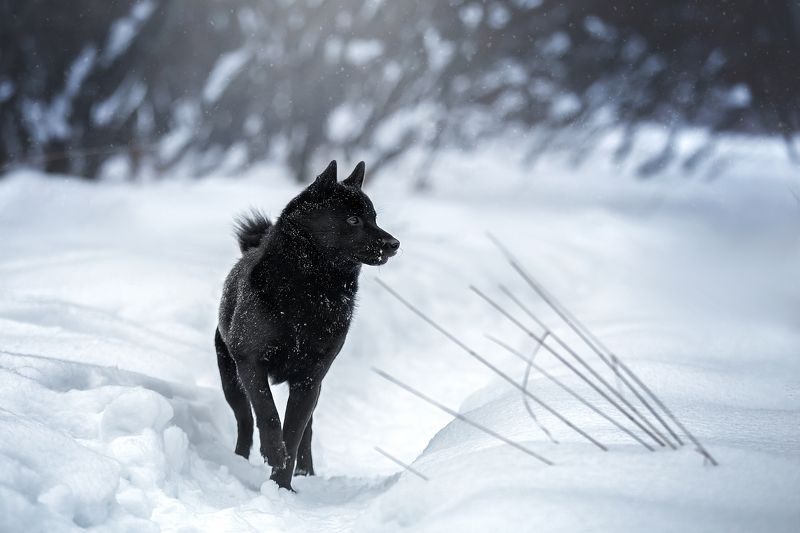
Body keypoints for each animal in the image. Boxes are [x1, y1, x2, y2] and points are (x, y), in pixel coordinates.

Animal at [215, 160, 399, 490]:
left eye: (374, 217)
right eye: (353, 219)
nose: (394, 244)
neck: (312, 290)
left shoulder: (309, 379)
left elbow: (295, 432)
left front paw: (282, 486)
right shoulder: (251, 362)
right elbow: (268, 414)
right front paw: (273, 453)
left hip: (314, 388)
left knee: (307, 431)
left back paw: (305, 472)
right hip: (231, 379)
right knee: (245, 419)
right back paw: (240, 459)